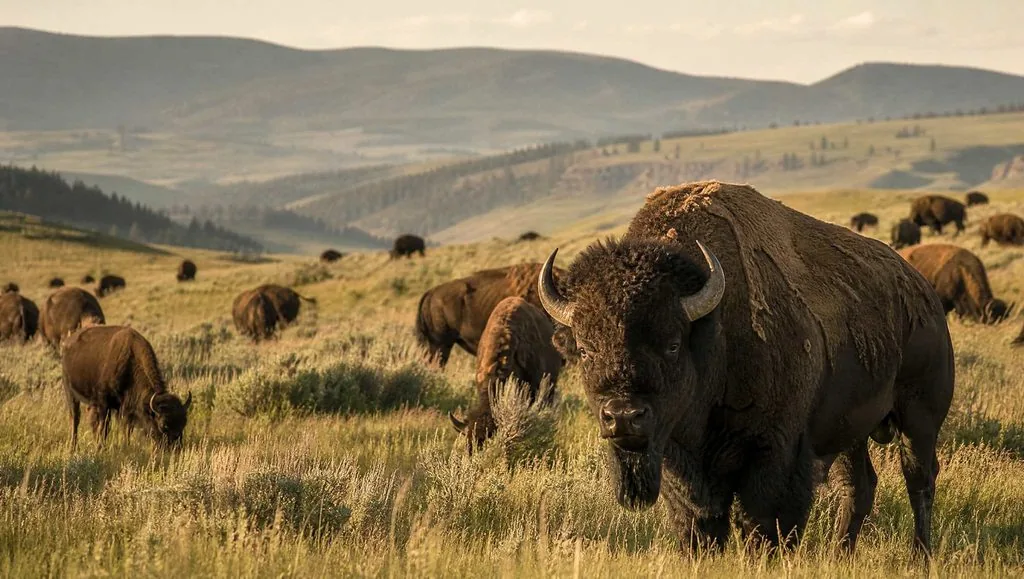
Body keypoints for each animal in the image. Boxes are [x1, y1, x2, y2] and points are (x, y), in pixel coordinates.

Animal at [61, 325, 192, 451]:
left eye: (184, 423)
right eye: (163, 425)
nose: (176, 449)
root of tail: (67, 342)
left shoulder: (126, 408)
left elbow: (126, 429)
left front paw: (125, 446)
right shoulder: (104, 403)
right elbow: (104, 427)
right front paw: (101, 448)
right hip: (70, 392)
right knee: (75, 418)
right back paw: (73, 447)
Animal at [538, 180, 953, 557]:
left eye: (672, 344)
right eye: (586, 350)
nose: (623, 417)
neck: (714, 334)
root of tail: (924, 294)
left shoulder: (776, 453)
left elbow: (763, 522)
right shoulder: (679, 460)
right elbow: (698, 521)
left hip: (919, 419)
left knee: (919, 479)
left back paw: (920, 556)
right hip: (850, 430)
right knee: (859, 486)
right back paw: (840, 555)